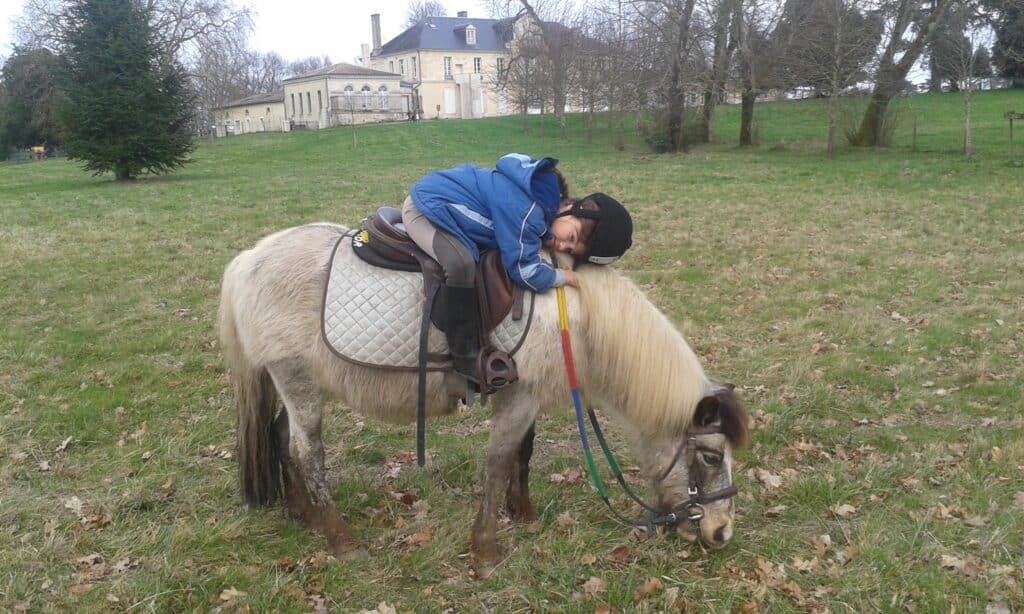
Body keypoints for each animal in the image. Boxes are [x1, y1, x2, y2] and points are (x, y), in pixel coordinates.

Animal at [218, 222, 749, 575]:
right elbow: (497, 463)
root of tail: (247, 260)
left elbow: (523, 454)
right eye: (710, 456)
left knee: (281, 437)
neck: (574, 312)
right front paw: (487, 550)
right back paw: (340, 538)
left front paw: (525, 515)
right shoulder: (518, 397)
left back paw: (302, 515)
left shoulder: (525, 396)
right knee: (307, 452)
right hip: (299, 381)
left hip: (295, 385)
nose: (721, 532)